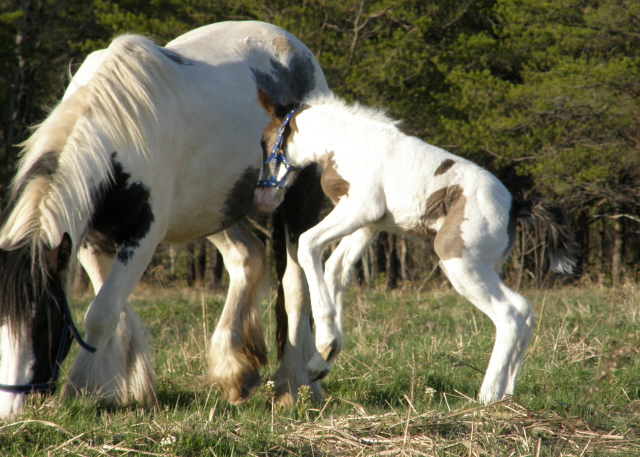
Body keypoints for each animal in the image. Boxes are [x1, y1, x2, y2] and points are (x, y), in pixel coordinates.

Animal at [0, 22, 328, 420]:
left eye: (44, 322)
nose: (10, 408)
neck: (117, 128)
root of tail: (295, 49)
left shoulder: (143, 237)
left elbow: (101, 314)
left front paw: (79, 390)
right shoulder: (90, 240)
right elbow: (114, 312)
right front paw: (133, 389)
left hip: (296, 205)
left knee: (296, 285)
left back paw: (295, 387)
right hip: (213, 210)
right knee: (246, 259)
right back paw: (235, 372)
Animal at [256, 90, 580, 402]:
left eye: (265, 141)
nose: (263, 197)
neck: (346, 142)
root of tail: (516, 206)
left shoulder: (359, 208)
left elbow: (308, 245)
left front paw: (325, 344)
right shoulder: (369, 224)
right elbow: (337, 269)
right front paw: (321, 360)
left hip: (459, 264)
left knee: (509, 313)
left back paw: (487, 395)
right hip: (487, 267)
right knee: (524, 309)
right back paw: (507, 393)